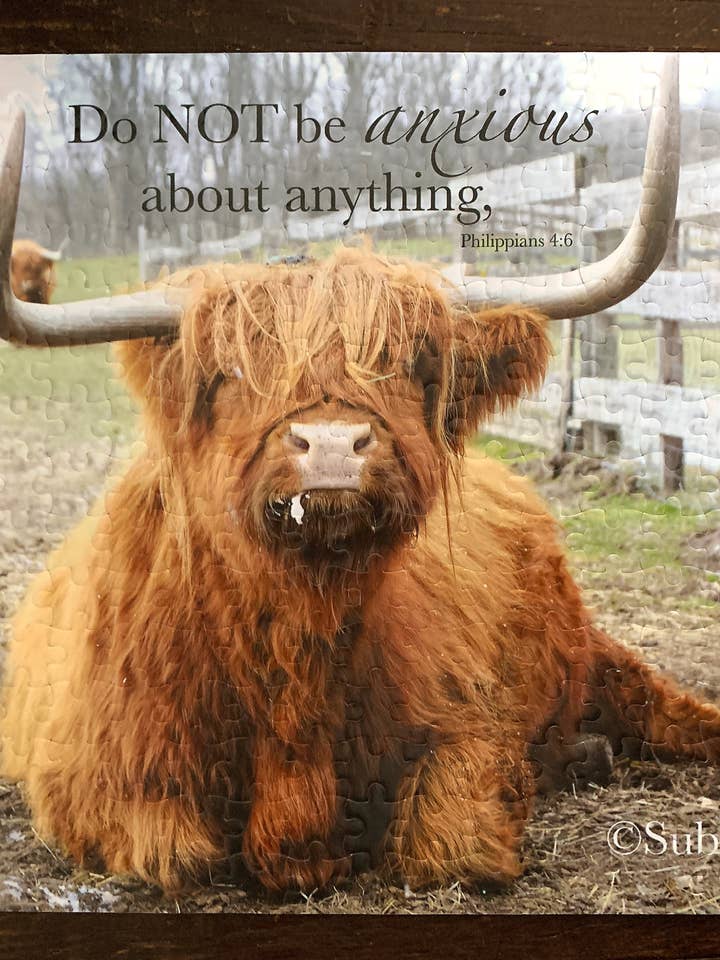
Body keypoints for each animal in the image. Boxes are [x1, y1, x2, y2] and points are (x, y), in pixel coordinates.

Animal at [3, 57, 717, 896]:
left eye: (409, 363)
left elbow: (453, 841)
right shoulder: (102, 781)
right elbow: (176, 852)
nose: (334, 445)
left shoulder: (462, 728)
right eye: (232, 371)